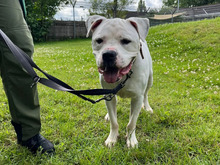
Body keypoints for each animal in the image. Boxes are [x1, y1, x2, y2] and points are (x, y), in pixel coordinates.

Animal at [86, 14, 153, 148]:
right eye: (99, 40)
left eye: (126, 41)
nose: (108, 54)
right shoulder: (108, 94)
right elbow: (114, 121)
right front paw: (112, 138)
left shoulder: (137, 98)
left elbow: (132, 123)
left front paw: (131, 140)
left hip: (150, 79)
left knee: (146, 94)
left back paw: (147, 107)